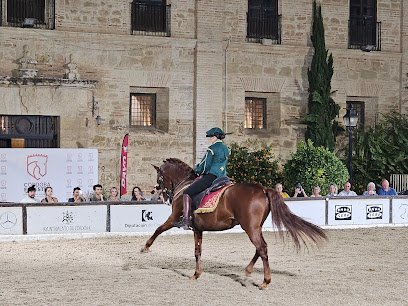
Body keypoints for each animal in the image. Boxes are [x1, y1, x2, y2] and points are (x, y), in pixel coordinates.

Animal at [142, 159, 326, 288]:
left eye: (159, 177)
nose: (161, 195)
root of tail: (263, 189)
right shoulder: (197, 229)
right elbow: (197, 251)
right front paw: (196, 274)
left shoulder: (174, 218)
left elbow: (158, 229)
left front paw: (145, 247)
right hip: (255, 227)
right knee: (261, 248)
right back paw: (248, 271)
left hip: (250, 228)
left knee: (262, 248)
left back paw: (265, 281)